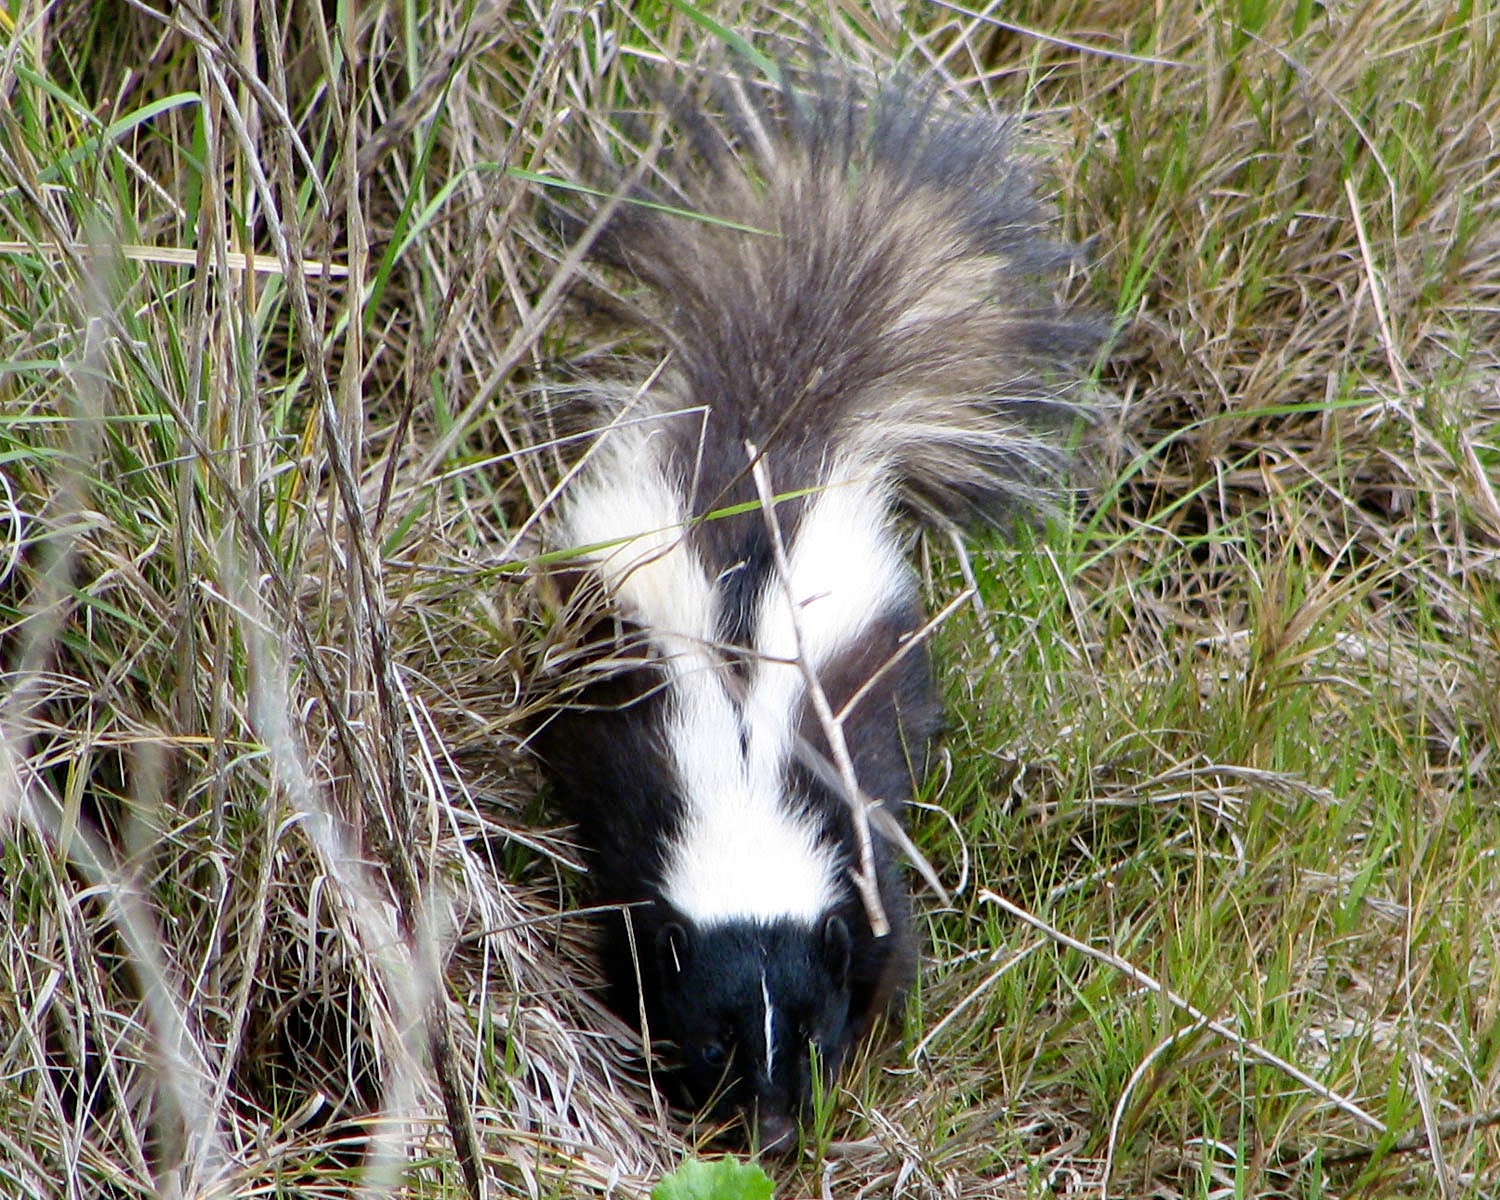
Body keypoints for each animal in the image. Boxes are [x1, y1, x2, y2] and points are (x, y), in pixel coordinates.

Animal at [534, 58, 1110, 1152]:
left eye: (809, 1022)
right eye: (715, 1034)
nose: (771, 1133)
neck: (746, 783)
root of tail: (774, 423)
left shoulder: (853, 827)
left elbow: (891, 931)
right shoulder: (643, 807)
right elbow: (620, 927)